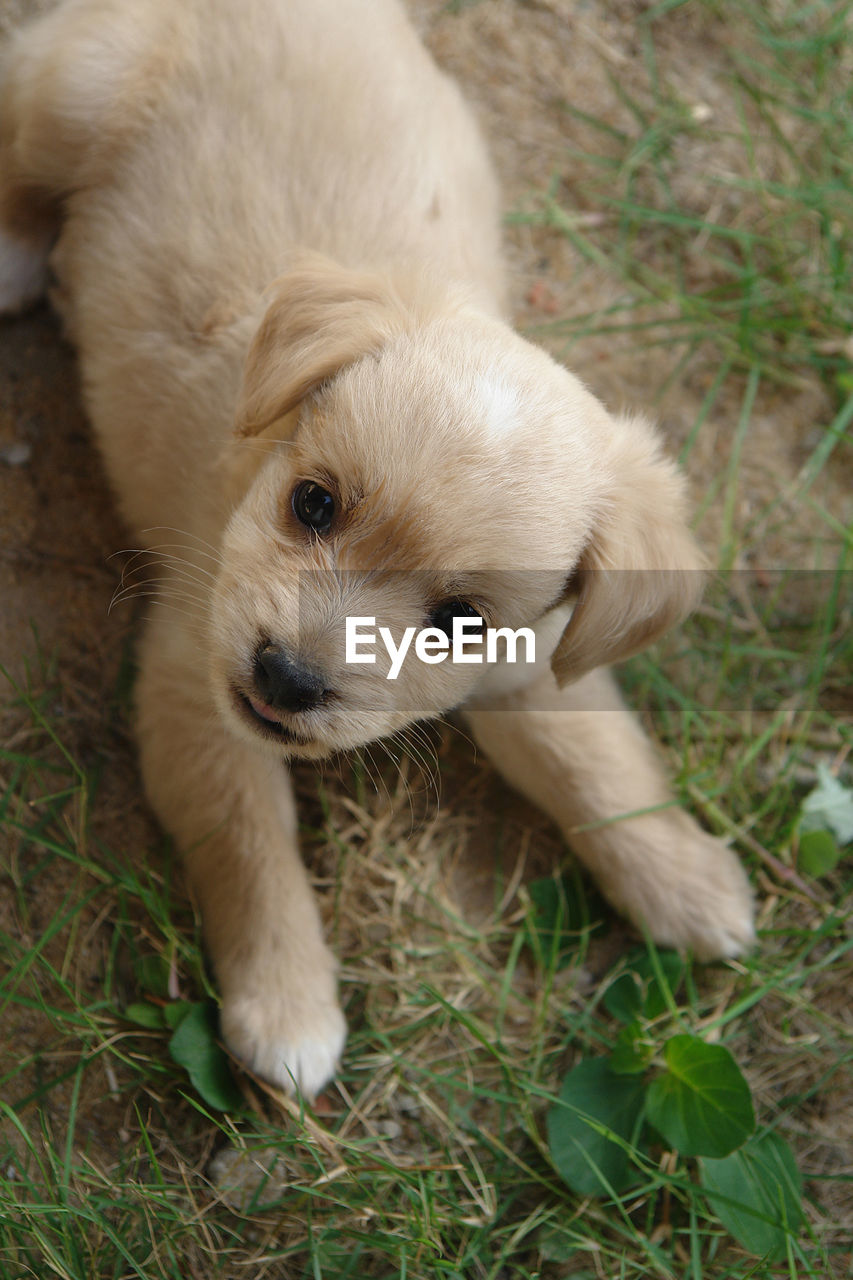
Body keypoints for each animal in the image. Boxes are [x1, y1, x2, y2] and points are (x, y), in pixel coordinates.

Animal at [0, 0, 747, 1100]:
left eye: (459, 621)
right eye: (313, 504)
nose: (286, 677)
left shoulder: (528, 665)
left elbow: (597, 761)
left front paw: (684, 876)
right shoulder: (192, 679)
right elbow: (247, 843)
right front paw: (287, 1007)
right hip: (72, 87)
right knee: (21, 160)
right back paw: (21, 262)